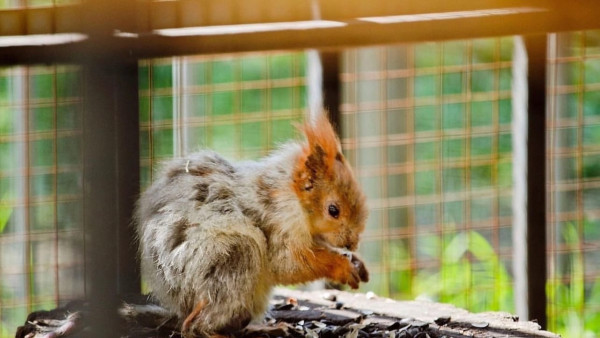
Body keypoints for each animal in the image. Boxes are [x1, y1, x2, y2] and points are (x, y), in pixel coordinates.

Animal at [136, 113, 368, 336]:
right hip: (232, 260)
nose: (352, 244)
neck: (293, 197)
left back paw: (265, 328)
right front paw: (342, 267)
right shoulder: (278, 221)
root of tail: (179, 304)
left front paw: (357, 263)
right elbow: (289, 264)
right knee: (194, 325)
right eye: (333, 210)